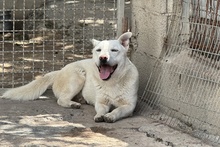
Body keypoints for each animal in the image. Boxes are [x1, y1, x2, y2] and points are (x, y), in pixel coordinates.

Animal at [1, 32, 138, 123]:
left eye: (114, 50)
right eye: (98, 50)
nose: (103, 58)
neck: (112, 82)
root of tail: (58, 72)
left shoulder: (129, 106)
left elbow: (118, 110)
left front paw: (111, 116)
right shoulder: (101, 102)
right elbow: (100, 110)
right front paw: (100, 115)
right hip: (78, 76)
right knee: (61, 100)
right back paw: (73, 104)